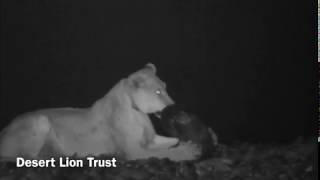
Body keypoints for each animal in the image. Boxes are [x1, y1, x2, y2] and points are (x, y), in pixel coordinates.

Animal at [0, 63, 200, 162]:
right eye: (158, 92)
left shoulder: (151, 140)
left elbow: (171, 142)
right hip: (40, 120)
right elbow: (166, 153)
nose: (175, 107)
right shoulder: (134, 151)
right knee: (24, 158)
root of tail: (4, 129)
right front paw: (189, 151)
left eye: (165, 87)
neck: (137, 112)